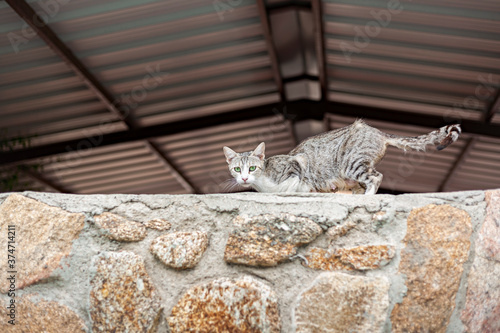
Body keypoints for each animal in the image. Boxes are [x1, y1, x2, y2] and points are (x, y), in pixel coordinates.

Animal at [223, 119, 460, 193]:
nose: (244, 178)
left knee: (376, 177)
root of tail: (376, 131)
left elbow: (293, 183)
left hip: (351, 163)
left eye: (252, 168)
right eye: (237, 169)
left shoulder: (297, 165)